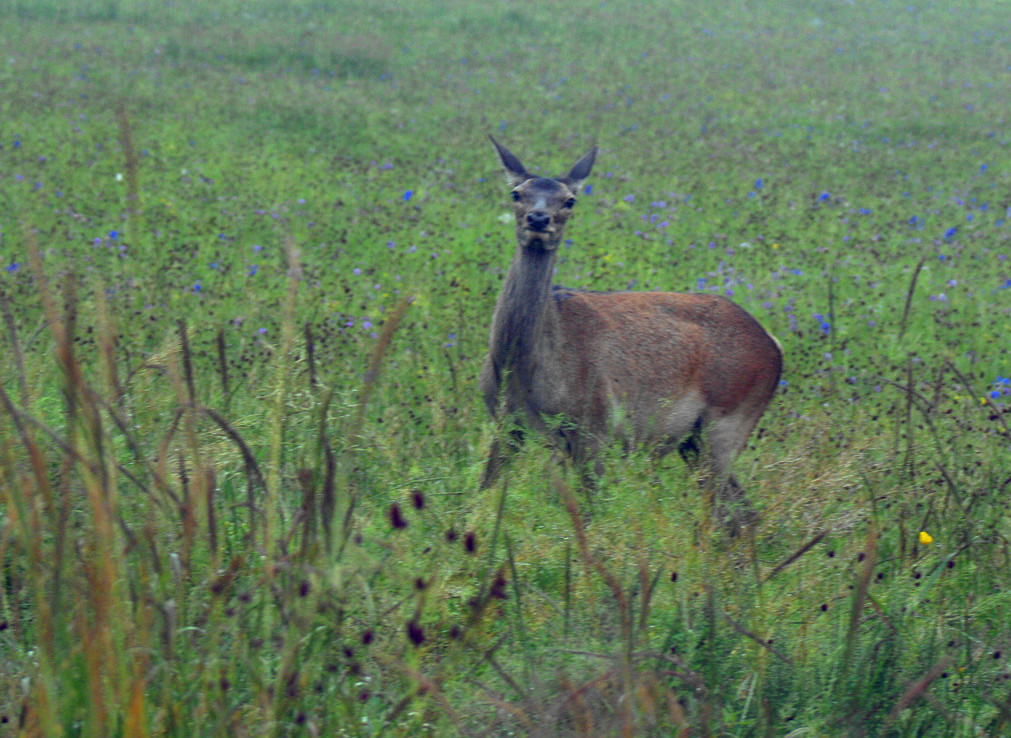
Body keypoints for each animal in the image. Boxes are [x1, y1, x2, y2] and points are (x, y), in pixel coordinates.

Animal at [479, 136, 780, 529]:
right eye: (516, 192)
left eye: (570, 199)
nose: (539, 218)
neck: (519, 371)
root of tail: (775, 347)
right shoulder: (504, 423)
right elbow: (483, 491)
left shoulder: (595, 426)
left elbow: (593, 512)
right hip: (693, 441)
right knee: (739, 514)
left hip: (727, 422)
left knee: (733, 513)